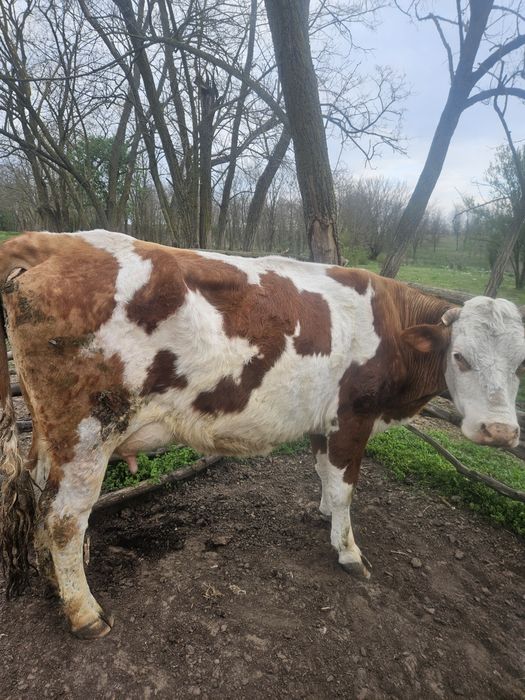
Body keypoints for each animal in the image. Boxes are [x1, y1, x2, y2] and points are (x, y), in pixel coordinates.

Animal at [0, 229, 523, 639]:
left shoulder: (322, 420)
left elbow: (325, 475)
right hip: (87, 431)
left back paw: (55, 584)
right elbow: (345, 487)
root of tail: (59, 241)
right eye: (461, 358)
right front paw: (348, 550)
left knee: (41, 498)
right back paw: (84, 613)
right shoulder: (352, 417)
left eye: (520, 363)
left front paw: (323, 514)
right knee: (64, 518)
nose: (500, 431)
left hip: (51, 435)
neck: (389, 326)